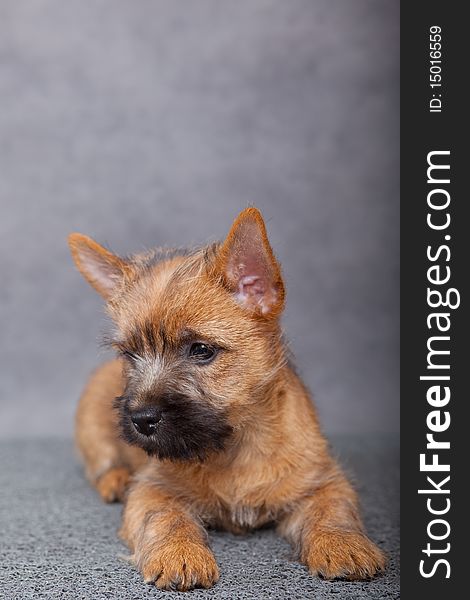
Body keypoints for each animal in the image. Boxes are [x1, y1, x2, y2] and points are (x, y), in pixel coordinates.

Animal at [69, 207, 386, 592]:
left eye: (201, 350)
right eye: (129, 354)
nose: (141, 419)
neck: (235, 447)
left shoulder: (322, 480)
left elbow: (333, 510)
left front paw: (344, 545)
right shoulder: (154, 488)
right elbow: (165, 517)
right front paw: (179, 554)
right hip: (92, 428)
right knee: (103, 463)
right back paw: (115, 481)